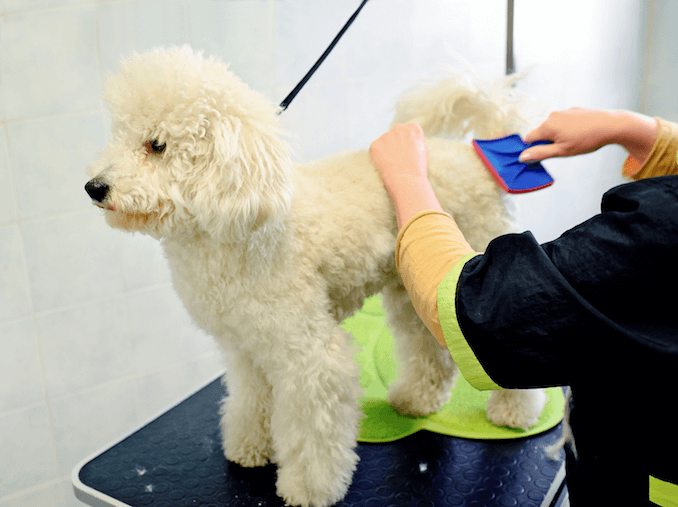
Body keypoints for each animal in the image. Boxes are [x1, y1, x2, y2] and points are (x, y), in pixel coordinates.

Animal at [87, 45, 548, 506]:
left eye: (156, 145)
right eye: (119, 135)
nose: (94, 187)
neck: (239, 226)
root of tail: (474, 155)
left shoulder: (308, 353)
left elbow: (312, 430)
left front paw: (309, 487)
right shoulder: (246, 346)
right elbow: (251, 400)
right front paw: (250, 447)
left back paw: (513, 412)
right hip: (414, 291)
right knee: (427, 349)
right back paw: (417, 400)